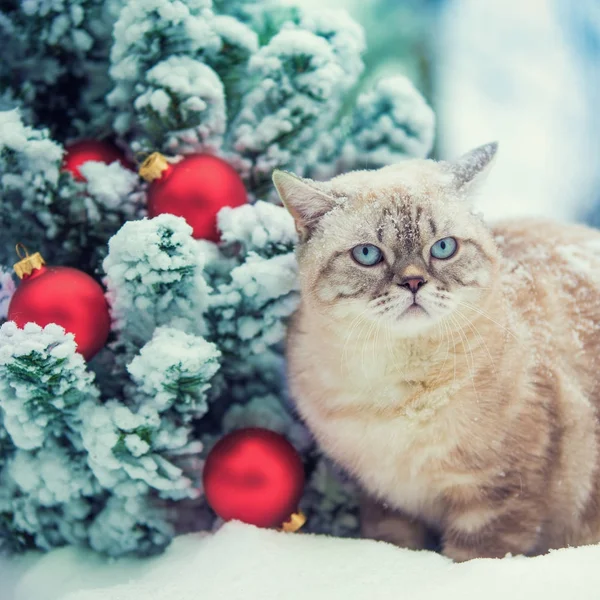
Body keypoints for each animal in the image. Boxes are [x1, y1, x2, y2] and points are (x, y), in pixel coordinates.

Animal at [274, 144, 600, 564]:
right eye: (367, 254)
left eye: (444, 248)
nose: (414, 282)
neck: (398, 392)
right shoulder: (385, 502)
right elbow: (394, 547)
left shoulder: (497, 500)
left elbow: (467, 561)